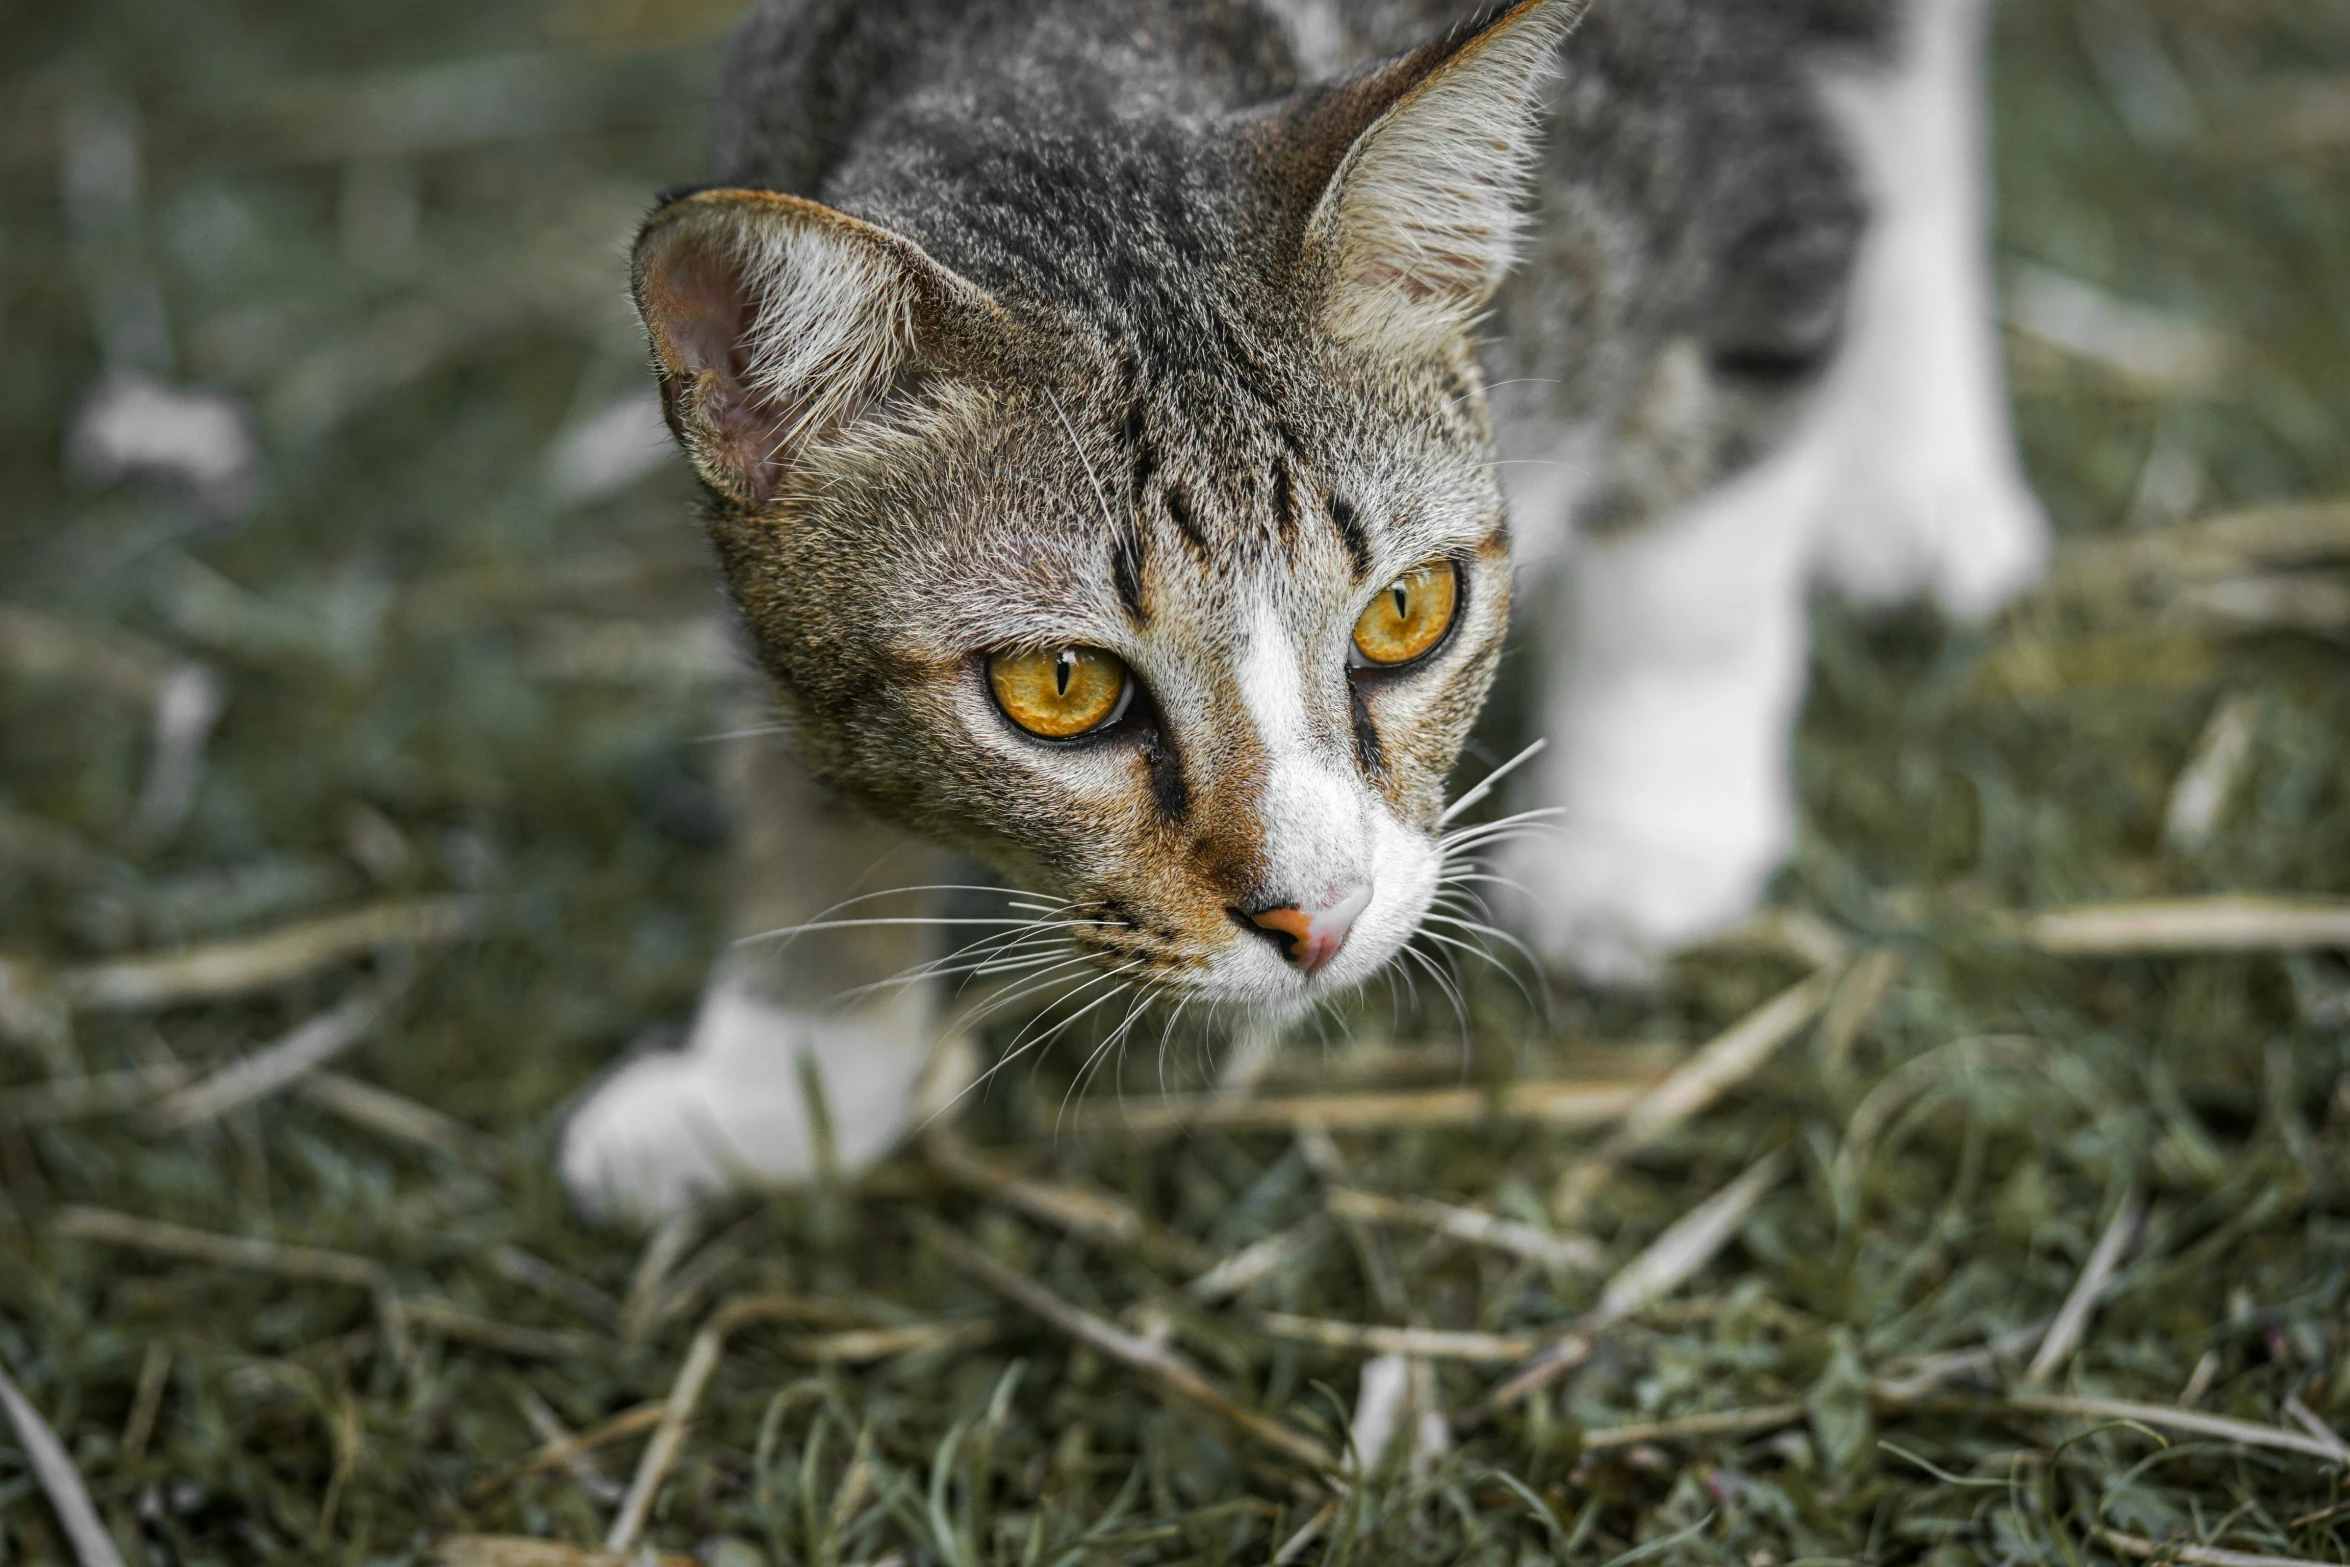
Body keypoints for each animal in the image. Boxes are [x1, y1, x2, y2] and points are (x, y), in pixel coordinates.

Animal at [559, 0, 2049, 1221]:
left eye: (1406, 610)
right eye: (1058, 686)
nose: (1318, 920)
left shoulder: (1742, 200)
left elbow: (1693, 565)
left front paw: (1643, 845)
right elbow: (791, 761)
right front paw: (781, 1078)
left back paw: (1918, 481)